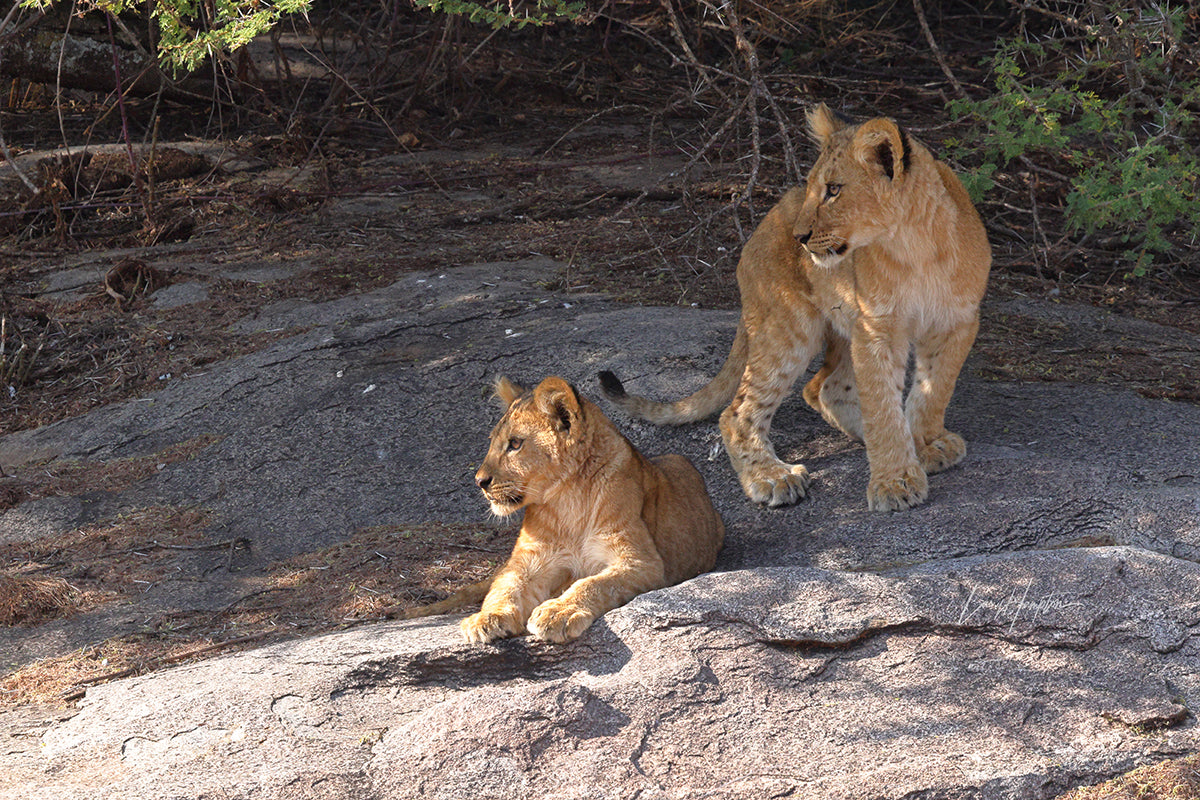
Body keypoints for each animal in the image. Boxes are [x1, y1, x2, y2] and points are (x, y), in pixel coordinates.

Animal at [404, 376, 724, 644]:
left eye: (515, 444)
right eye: (493, 442)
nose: (479, 481)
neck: (568, 500)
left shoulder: (643, 562)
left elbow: (594, 583)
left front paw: (558, 612)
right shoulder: (528, 561)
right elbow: (504, 587)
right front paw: (486, 618)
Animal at [600, 104, 991, 511]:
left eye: (833, 190)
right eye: (814, 188)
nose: (799, 237)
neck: (915, 246)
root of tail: (761, 228)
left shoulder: (957, 321)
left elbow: (934, 390)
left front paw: (923, 445)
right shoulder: (878, 327)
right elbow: (883, 404)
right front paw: (894, 481)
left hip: (843, 323)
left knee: (824, 388)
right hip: (790, 328)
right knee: (737, 412)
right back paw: (772, 477)